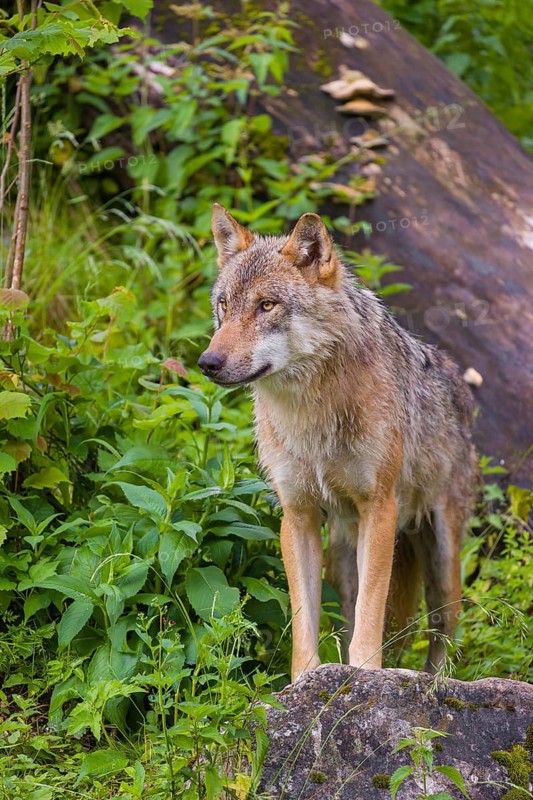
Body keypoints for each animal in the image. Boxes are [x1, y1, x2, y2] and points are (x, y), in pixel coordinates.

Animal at [198, 204, 476, 682]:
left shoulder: (379, 509)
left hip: (442, 562)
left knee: (442, 629)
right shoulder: (298, 515)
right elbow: (303, 618)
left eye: (266, 305)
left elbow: (372, 611)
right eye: (224, 305)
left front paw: (365, 675)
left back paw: (435, 682)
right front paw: (307, 681)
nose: (207, 362)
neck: (311, 414)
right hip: (342, 556)